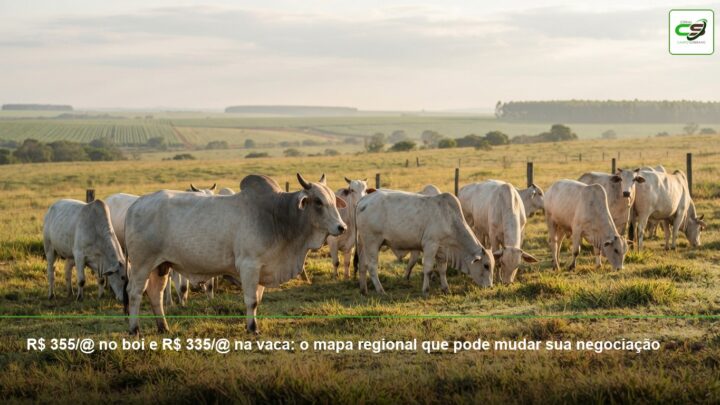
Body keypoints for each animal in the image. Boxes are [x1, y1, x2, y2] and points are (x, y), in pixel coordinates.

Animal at [124, 173, 347, 334]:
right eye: (318, 201)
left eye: (333, 200)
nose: (341, 227)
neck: (278, 216)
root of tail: (136, 204)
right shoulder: (249, 266)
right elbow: (251, 300)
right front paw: (252, 329)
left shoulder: (262, 269)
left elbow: (257, 299)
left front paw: (253, 324)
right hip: (141, 265)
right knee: (135, 294)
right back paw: (135, 329)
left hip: (160, 266)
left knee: (156, 294)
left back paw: (163, 327)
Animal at [355, 190, 497, 296]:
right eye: (486, 265)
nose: (490, 286)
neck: (450, 219)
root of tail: (364, 200)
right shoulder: (430, 245)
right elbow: (428, 268)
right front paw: (426, 290)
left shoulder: (441, 250)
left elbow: (442, 270)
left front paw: (446, 289)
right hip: (372, 242)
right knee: (372, 266)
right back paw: (381, 291)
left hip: (363, 244)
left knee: (362, 264)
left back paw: (363, 290)